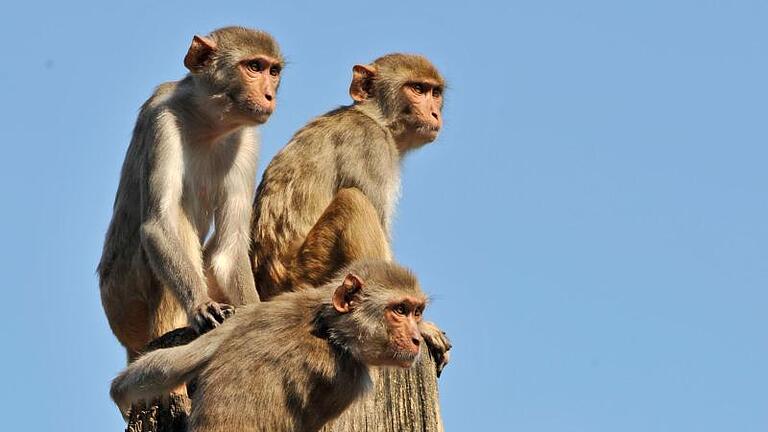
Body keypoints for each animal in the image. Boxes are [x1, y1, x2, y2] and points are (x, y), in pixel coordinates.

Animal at [98, 27, 284, 364]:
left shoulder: (247, 139)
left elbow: (229, 247)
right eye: (254, 67)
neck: (208, 121)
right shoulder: (162, 121)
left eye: (273, 71)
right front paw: (200, 305)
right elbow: (158, 224)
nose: (269, 95)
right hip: (124, 301)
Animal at [111, 260, 428, 432]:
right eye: (400, 310)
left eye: (417, 312)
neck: (327, 329)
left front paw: (120, 395)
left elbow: (173, 363)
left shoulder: (253, 312)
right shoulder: (347, 381)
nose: (416, 339)